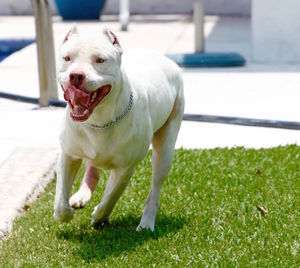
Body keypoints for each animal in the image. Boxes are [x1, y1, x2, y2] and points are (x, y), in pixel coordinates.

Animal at [54, 25, 185, 230]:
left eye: (100, 60)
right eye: (67, 58)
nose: (76, 75)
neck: (100, 120)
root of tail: (165, 58)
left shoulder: (127, 167)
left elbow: (112, 195)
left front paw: (99, 215)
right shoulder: (68, 154)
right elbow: (60, 201)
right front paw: (66, 213)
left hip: (165, 149)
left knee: (155, 187)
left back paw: (146, 223)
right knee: (93, 169)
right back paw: (81, 196)